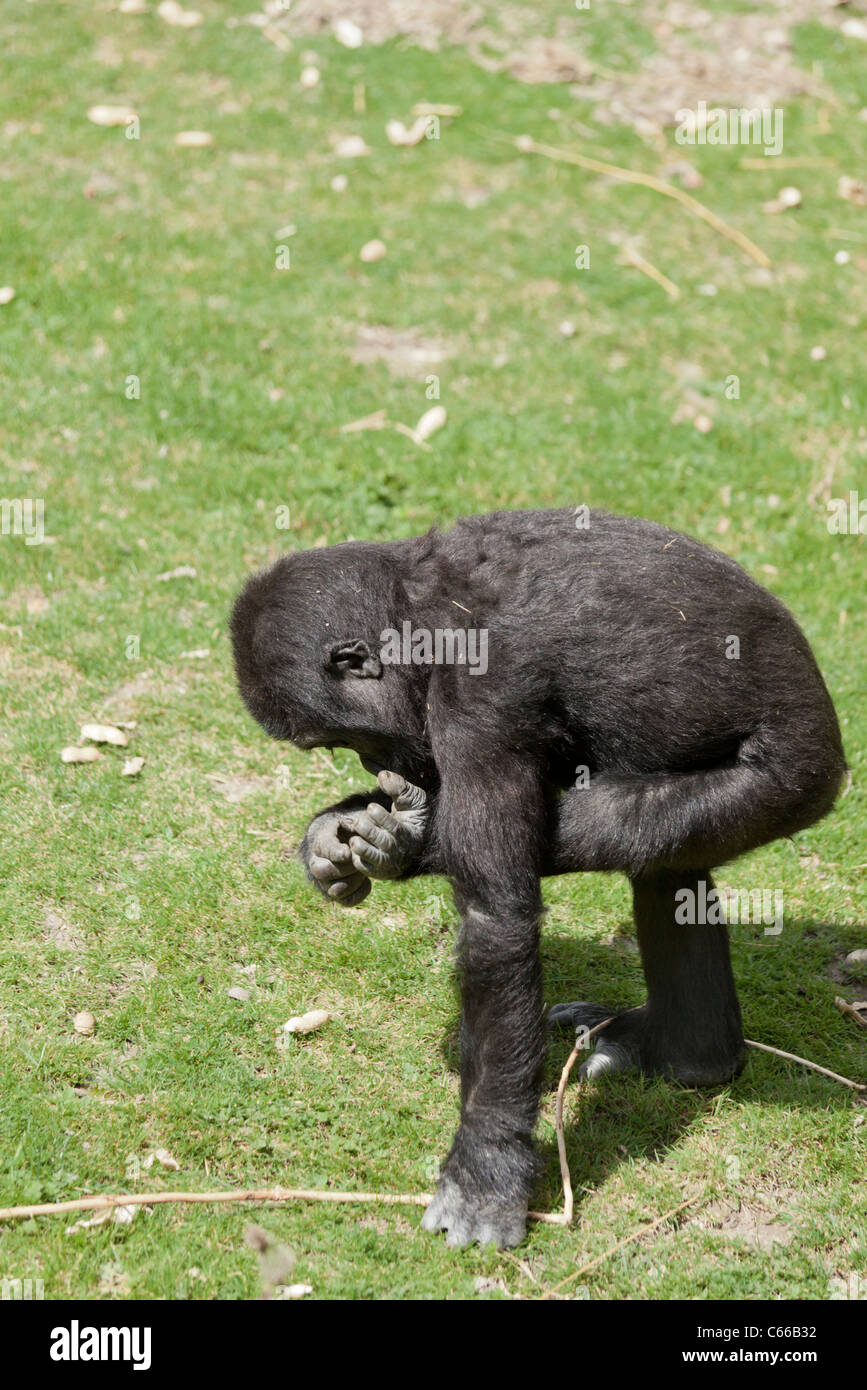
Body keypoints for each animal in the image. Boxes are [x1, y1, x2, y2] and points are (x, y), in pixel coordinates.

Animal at [230, 508, 844, 1251]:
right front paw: (340, 829)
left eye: (339, 741)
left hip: (787, 779)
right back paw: (690, 1055)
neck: (413, 607)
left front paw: (484, 1167)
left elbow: (497, 918)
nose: (378, 765)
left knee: (622, 828)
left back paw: (412, 840)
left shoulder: (479, 695)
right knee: (667, 871)